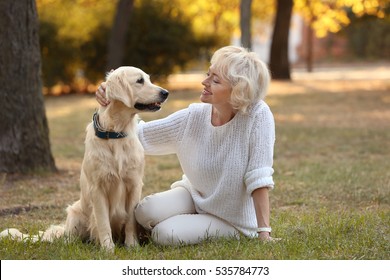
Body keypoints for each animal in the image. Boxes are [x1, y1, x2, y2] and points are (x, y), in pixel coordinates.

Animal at [0, 66, 168, 250]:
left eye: (148, 79)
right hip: (75, 213)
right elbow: (103, 222)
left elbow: (131, 219)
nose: (165, 93)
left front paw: (132, 246)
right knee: (70, 238)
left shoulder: (134, 183)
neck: (115, 134)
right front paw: (108, 249)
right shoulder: (98, 188)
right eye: (140, 81)